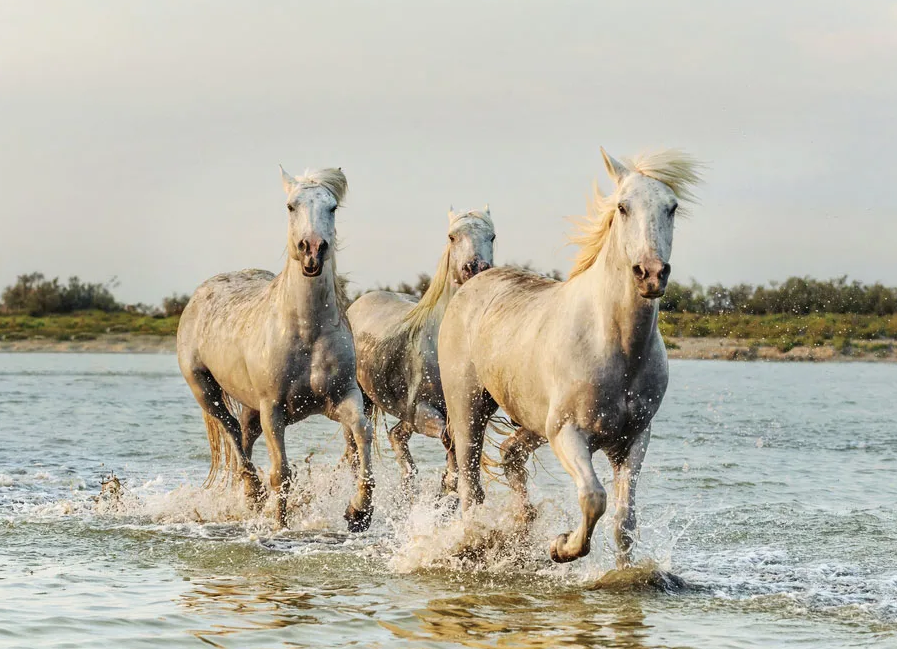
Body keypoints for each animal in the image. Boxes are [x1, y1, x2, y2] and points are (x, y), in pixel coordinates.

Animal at [175, 167, 374, 532]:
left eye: (333, 207)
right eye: (291, 206)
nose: (312, 250)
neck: (307, 331)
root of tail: (200, 293)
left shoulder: (343, 397)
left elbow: (362, 433)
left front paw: (359, 512)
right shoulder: (273, 409)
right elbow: (281, 472)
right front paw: (280, 525)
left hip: (250, 408)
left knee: (244, 436)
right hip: (205, 391)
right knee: (233, 435)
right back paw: (254, 495)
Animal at [344, 206, 496, 492]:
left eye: (492, 236)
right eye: (452, 236)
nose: (475, 267)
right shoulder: (422, 410)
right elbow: (449, 441)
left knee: (397, 439)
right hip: (363, 400)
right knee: (354, 452)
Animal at [436, 148, 700, 560]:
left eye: (672, 207)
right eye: (623, 207)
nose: (651, 274)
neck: (617, 345)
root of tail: (474, 280)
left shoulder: (634, 439)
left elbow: (624, 523)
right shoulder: (568, 434)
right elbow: (594, 497)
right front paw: (561, 547)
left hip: (531, 419)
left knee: (510, 454)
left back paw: (522, 525)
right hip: (469, 409)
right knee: (469, 485)